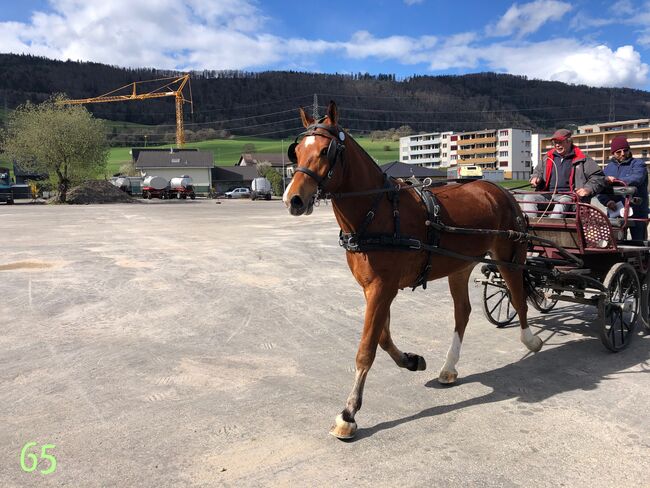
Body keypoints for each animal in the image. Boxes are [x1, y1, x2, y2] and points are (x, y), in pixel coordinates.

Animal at [284, 101, 540, 440]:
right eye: (297, 151)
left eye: (326, 151)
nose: (294, 199)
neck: (376, 211)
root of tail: (500, 191)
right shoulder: (374, 289)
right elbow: (382, 337)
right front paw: (410, 360)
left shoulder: (382, 289)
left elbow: (366, 348)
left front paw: (349, 413)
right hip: (460, 265)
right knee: (463, 312)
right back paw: (449, 367)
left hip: (509, 255)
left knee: (518, 296)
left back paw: (531, 341)